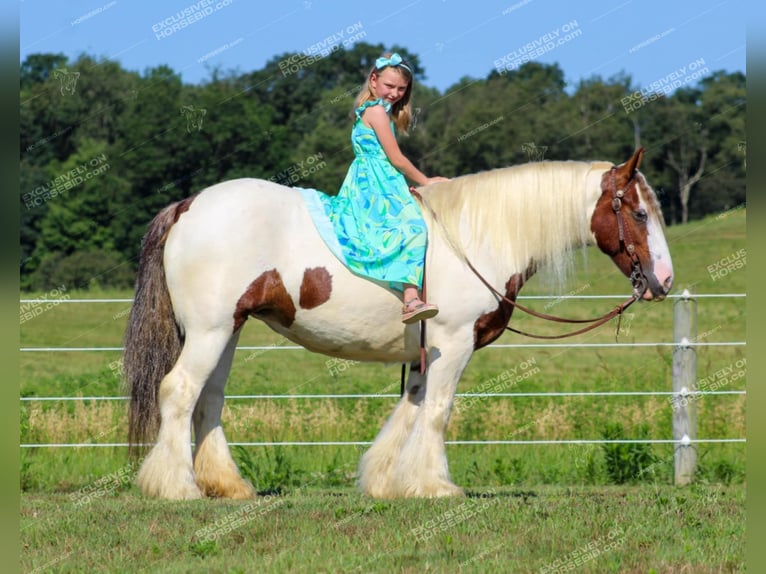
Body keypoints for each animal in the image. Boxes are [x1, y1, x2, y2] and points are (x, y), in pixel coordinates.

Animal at [124, 147, 672, 500]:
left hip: (228, 330)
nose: (664, 280)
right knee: (178, 390)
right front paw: (436, 486)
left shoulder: (427, 353)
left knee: (208, 399)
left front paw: (388, 481)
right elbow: (437, 412)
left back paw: (228, 485)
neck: (478, 237)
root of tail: (189, 205)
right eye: (639, 213)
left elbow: (410, 410)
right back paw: (176, 487)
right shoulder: (454, 344)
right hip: (210, 331)